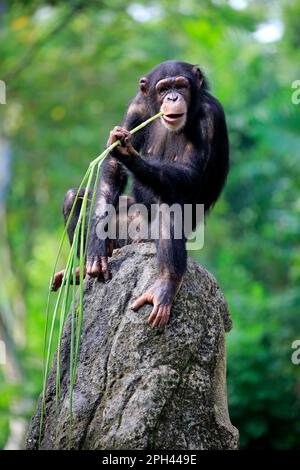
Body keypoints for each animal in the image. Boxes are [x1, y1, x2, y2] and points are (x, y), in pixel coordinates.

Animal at [52, 60, 230, 326]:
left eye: (181, 85)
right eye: (163, 88)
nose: (173, 97)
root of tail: (134, 239)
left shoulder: (210, 117)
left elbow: (189, 174)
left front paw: (127, 152)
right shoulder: (136, 105)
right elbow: (112, 168)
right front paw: (95, 247)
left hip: (149, 237)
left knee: (171, 210)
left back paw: (165, 286)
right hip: (120, 237)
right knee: (74, 198)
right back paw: (83, 269)